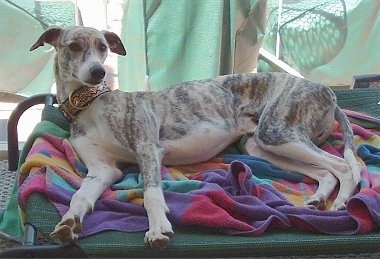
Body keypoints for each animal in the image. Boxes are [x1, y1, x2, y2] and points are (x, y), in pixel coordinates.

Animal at [29, 26, 360, 250]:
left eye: (102, 47)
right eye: (73, 46)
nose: (98, 72)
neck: (91, 105)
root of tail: (325, 90)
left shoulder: (148, 149)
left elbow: (151, 193)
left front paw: (158, 229)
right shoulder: (103, 170)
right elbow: (79, 195)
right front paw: (68, 222)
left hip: (277, 132)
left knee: (345, 166)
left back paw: (340, 205)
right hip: (263, 144)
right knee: (324, 172)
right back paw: (317, 199)